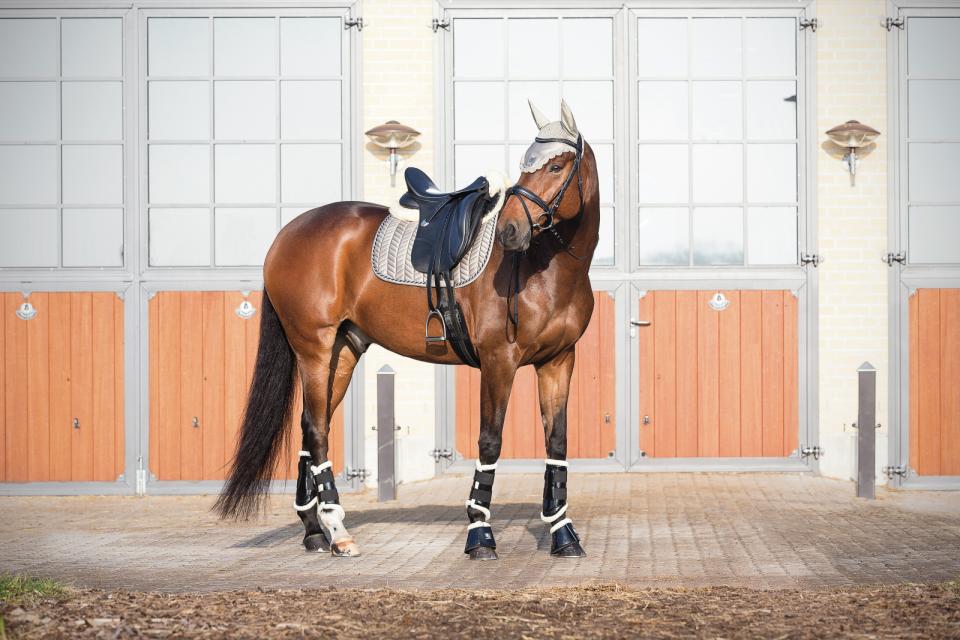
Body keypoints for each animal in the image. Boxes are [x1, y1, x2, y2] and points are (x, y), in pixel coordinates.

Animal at [214, 100, 600, 561]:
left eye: (556, 166)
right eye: (526, 167)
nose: (510, 232)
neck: (544, 268)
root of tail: (286, 235)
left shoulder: (558, 362)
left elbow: (557, 443)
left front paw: (563, 533)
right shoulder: (498, 362)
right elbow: (490, 441)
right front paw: (480, 534)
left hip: (342, 352)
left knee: (313, 426)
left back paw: (314, 530)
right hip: (314, 348)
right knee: (316, 431)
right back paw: (338, 532)